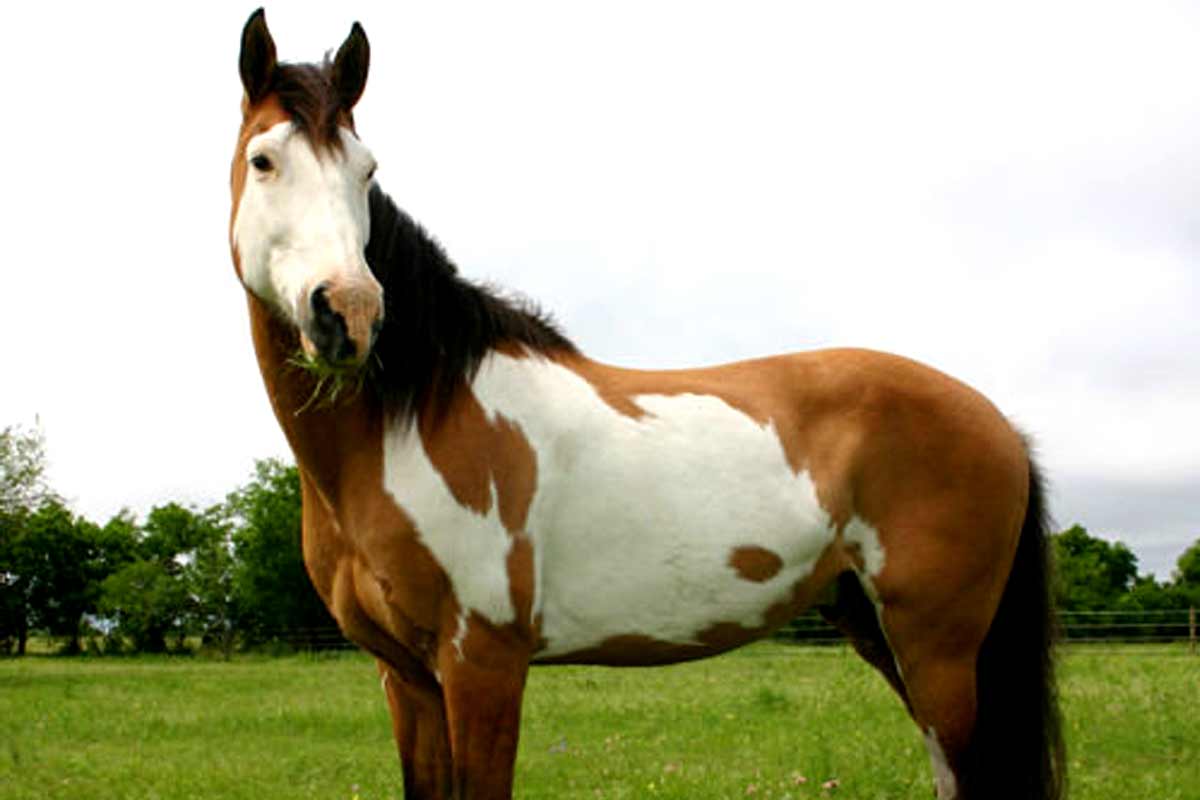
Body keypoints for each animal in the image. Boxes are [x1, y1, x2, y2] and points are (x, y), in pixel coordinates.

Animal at [228, 9, 1064, 799]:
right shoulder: (406, 678)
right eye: (263, 160)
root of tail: (999, 424)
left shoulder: (482, 663)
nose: (350, 313)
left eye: (366, 170)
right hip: (877, 627)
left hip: (938, 649)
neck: (415, 419)